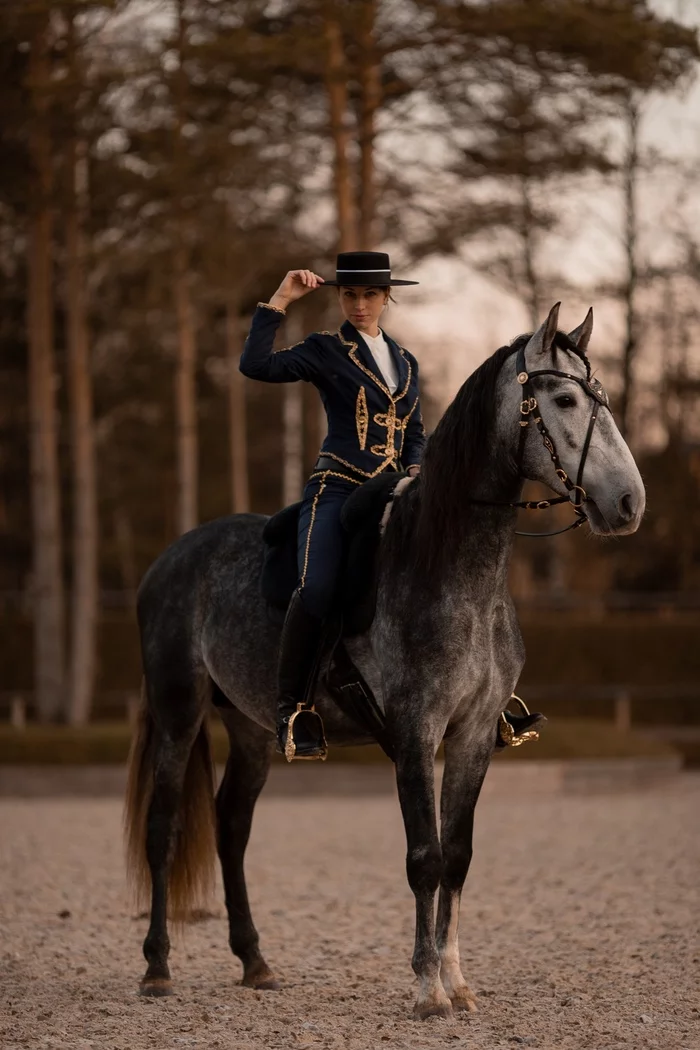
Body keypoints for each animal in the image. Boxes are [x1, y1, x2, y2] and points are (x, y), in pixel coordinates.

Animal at [124, 304, 646, 1016]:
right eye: (563, 399)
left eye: (604, 397)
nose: (629, 503)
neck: (453, 569)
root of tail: (172, 558)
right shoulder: (415, 731)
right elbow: (423, 856)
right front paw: (428, 987)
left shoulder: (473, 734)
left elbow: (457, 855)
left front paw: (457, 979)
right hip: (179, 712)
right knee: (164, 827)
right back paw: (156, 967)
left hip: (252, 726)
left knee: (232, 828)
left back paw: (256, 962)